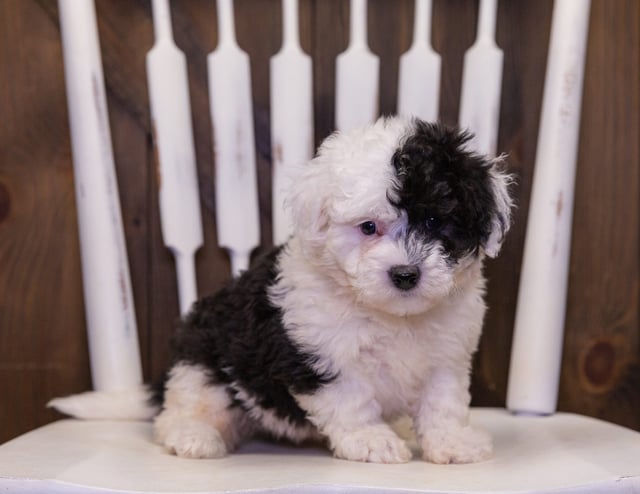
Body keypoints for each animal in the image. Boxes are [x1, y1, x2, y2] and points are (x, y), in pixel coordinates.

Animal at [52, 116, 516, 464]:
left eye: (437, 222)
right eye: (368, 227)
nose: (405, 274)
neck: (392, 314)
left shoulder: (446, 356)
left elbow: (443, 404)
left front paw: (452, 443)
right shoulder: (321, 352)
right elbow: (351, 400)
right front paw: (371, 441)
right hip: (206, 364)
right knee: (182, 410)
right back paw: (194, 435)